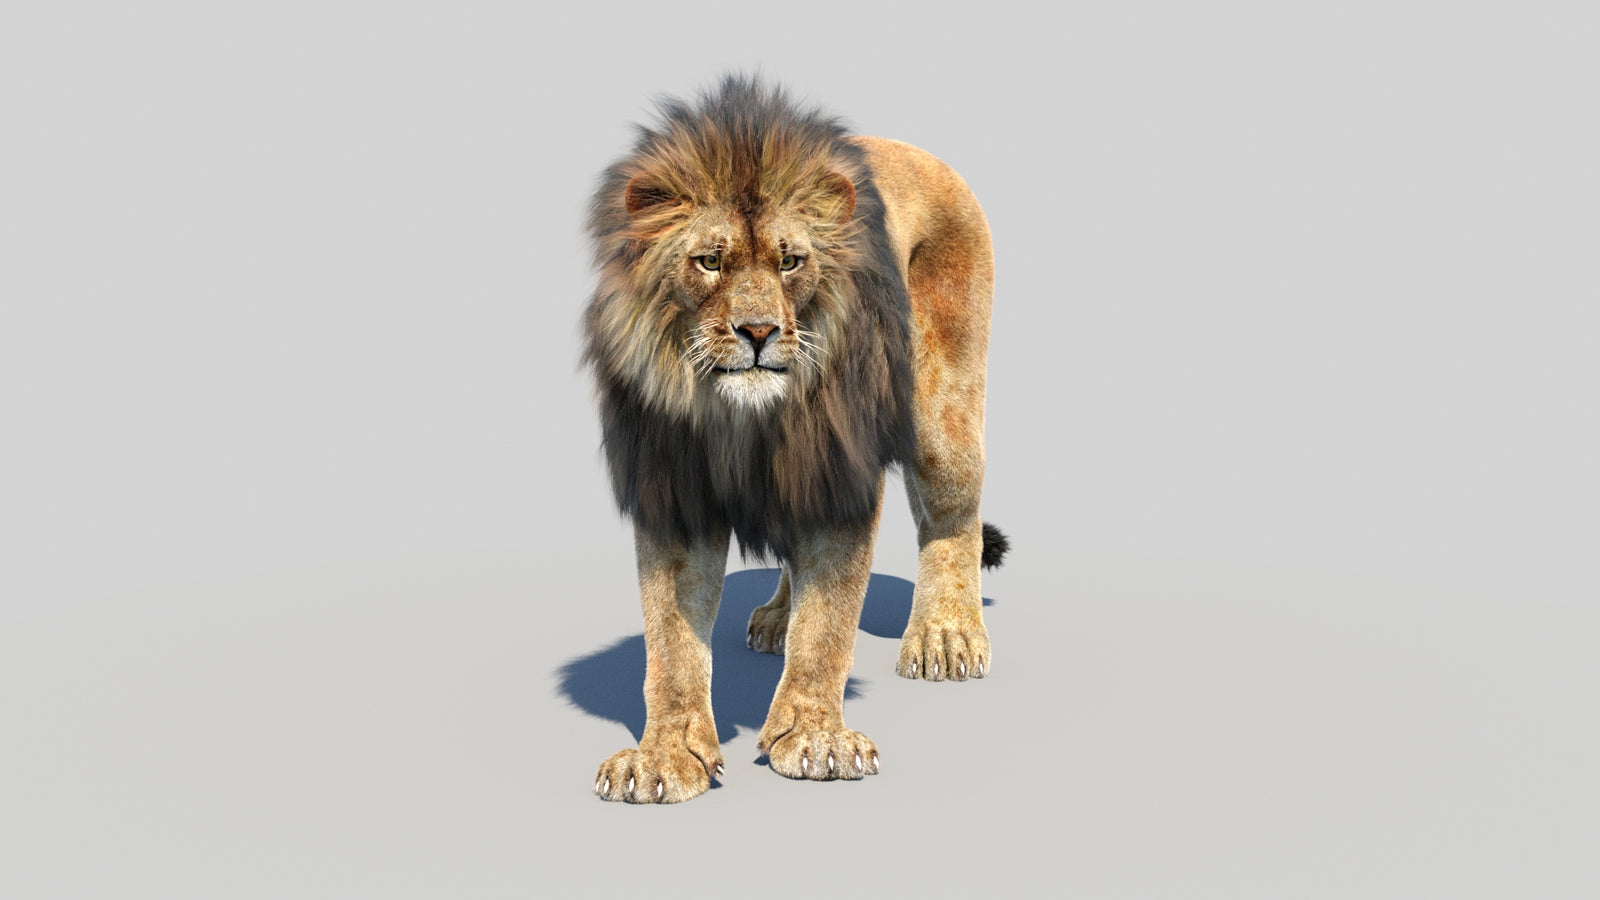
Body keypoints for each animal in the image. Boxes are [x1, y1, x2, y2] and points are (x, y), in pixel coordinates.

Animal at [582, 75, 1005, 803]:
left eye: (790, 262)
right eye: (709, 261)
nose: (758, 332)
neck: (743, 418)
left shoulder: (839, 473)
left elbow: (830, 620)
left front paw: (815, 740)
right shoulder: (673, 486)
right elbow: (670, 642)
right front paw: (663, 757)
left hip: (942, 411)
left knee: (954, 514)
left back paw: (946, 637)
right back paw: (778, 619)